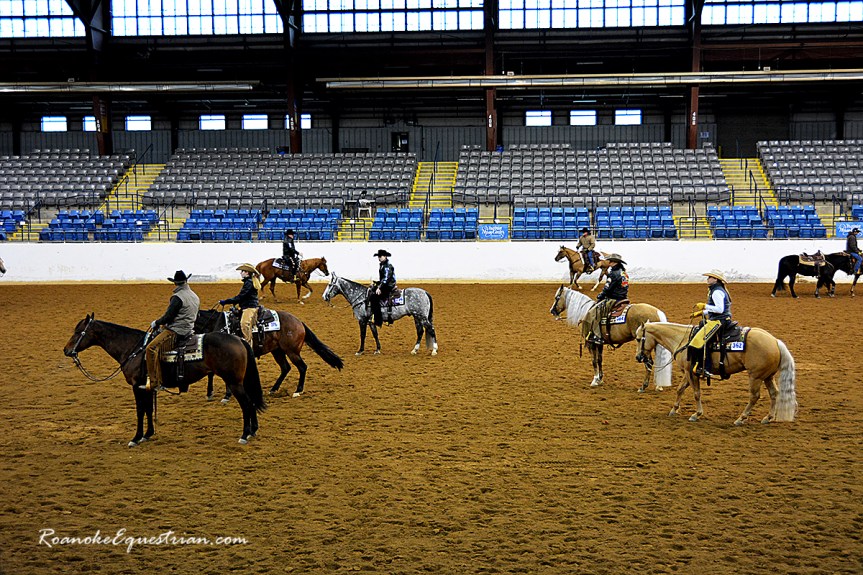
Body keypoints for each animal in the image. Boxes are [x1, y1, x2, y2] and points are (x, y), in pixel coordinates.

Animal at [63, 314, 266, 446]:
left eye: (78, 331)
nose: (66, 350)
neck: (134, 349)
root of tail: (239, 340)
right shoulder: (146, 387)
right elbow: (148, 410)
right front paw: (147, 434)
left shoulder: (137, 386)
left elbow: (140, 411)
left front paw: (136, 438)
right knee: (251, 402)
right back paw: (253, 430)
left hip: (234, 382)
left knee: (247, 404)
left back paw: (245, 434)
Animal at [195, 308, 343, 402]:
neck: (221, 326)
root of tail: (299, 322)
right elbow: (211, 374)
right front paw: (210, 393)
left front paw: (226, 395)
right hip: (277, 351)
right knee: (285, 368)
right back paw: (273, 389)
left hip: (292, 351)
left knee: (302, 367)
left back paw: (298, 390)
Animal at [635, 321, 797, 425]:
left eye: (637, 339)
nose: (638, 357)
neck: (683, 340)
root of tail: (775, 341)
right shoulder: (688, 372)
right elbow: (680, 389)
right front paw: (674, 410)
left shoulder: (691, 373)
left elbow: (696, 393)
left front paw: (696, 414)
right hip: (767, 376)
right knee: (774, 393)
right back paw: (768, 417)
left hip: (755, 376)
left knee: (754, 396)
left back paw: (741, 418)